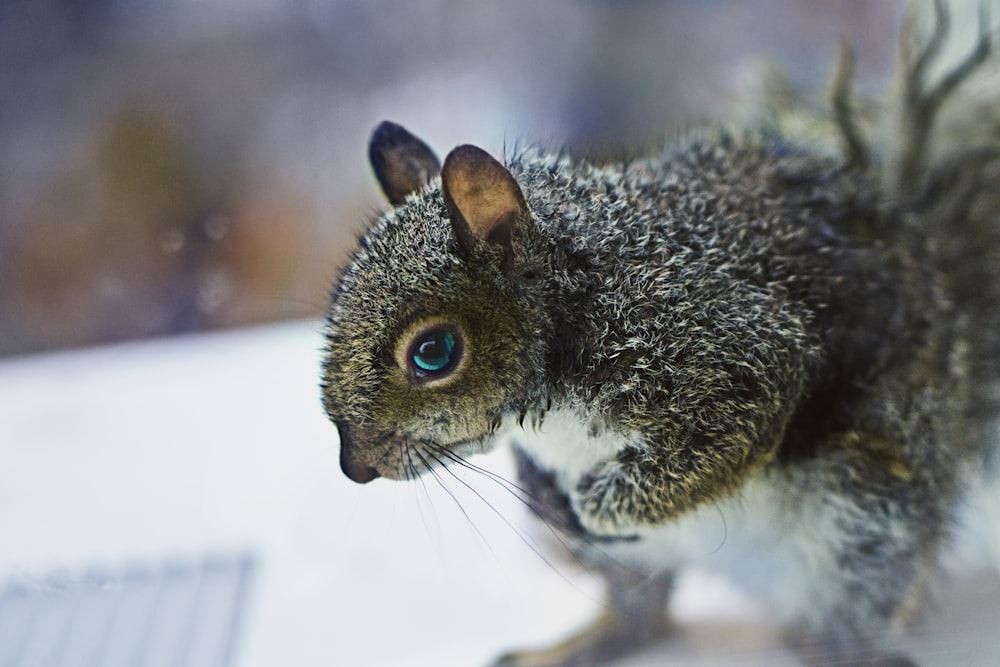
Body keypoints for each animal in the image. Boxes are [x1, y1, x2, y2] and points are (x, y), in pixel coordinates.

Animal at [320, 2, 1000, 664]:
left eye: (434, 352)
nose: (355, 467)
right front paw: (557, 500)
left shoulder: (719, 346)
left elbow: (730, 431)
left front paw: (596, 504)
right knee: (645, 613)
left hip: (858, 529)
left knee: (839, 618)